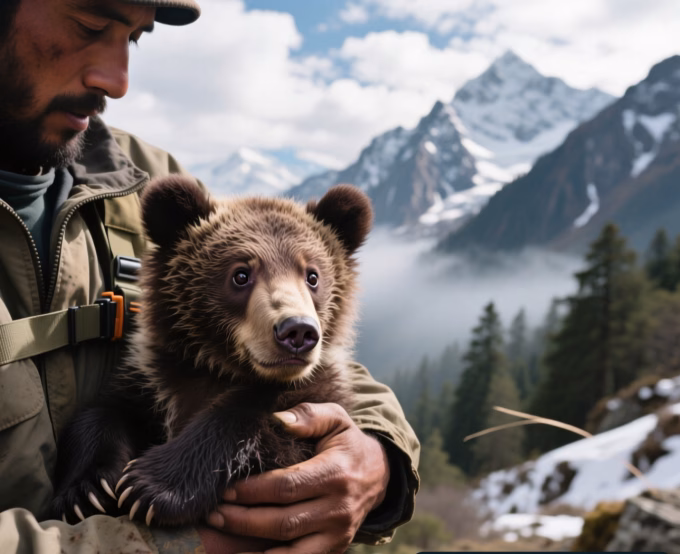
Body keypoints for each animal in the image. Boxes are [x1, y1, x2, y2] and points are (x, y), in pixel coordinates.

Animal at [50, 176, 373, 528]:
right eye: (241, 274)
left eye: (312, 275)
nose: (297, 331)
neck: (221, 368)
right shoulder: (152, 381)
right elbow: (102, 413)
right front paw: (88, 490)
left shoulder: (313, 396)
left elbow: (256, 426)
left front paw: (151, 486)